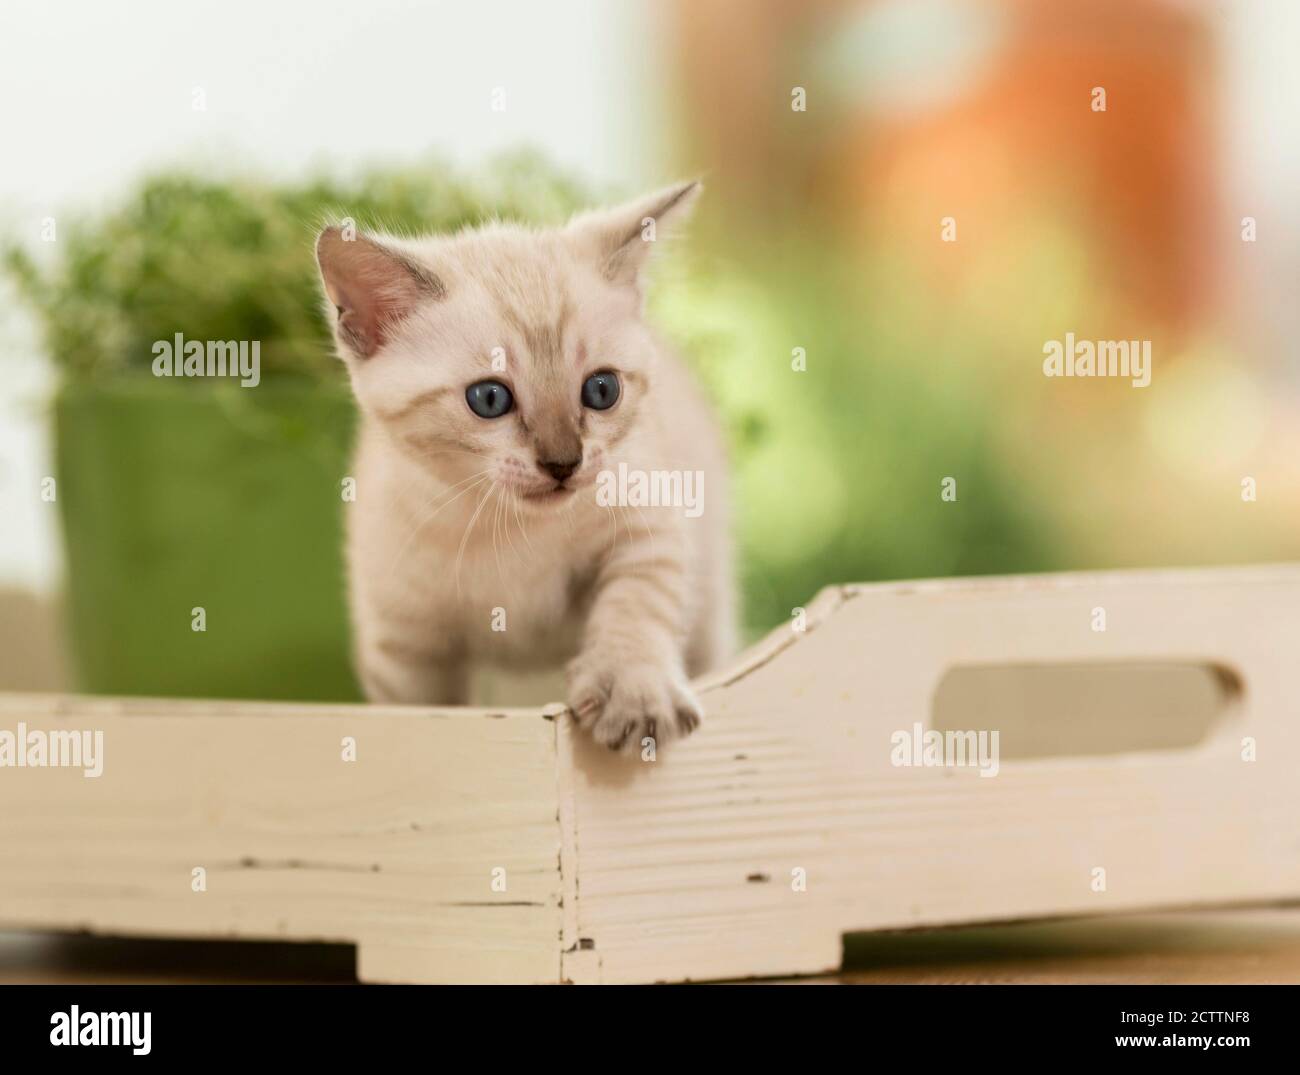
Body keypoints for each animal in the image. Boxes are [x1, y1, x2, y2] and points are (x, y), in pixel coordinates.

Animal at [314, 180, 738, 753]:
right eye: (489, 399)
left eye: (601, 390)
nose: (564, 462)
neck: (508, 528)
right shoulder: (404, 639)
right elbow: (422, 713)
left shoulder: (648, 519)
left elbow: (637, 602)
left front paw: (634, 690)